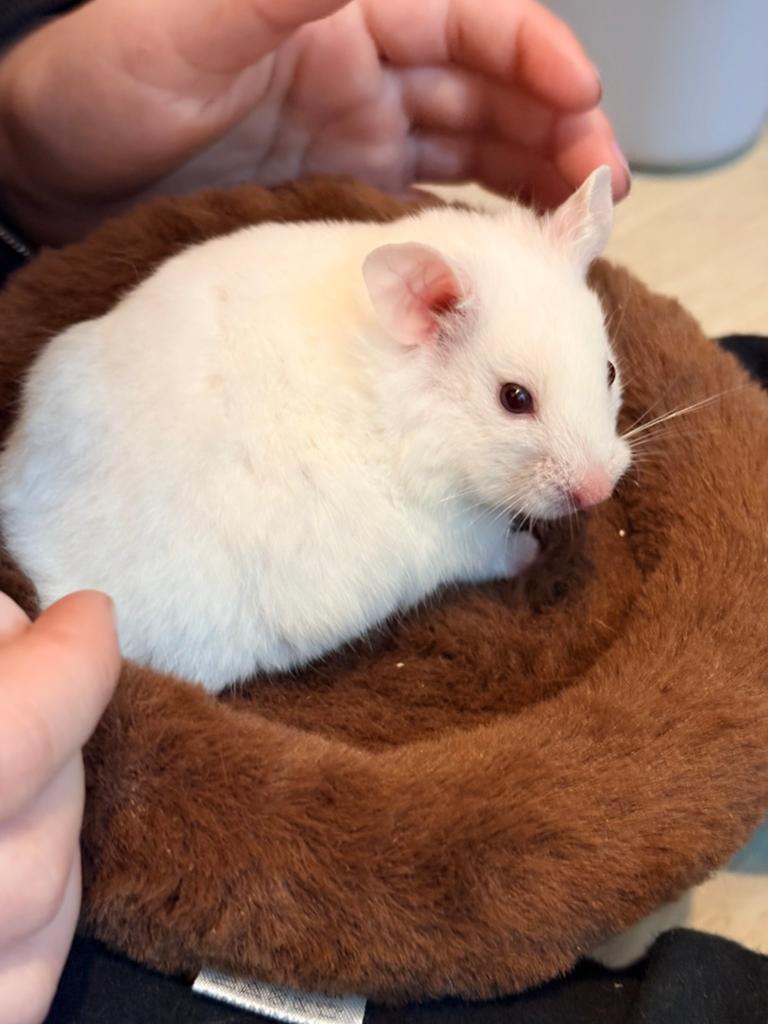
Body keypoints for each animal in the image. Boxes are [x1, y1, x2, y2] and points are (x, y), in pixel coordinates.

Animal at [0, 167, 631, 692]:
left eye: (609, 371)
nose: (599, 491)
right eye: (514, 399)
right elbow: (499, 548)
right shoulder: (458, 532)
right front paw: (532, 551)